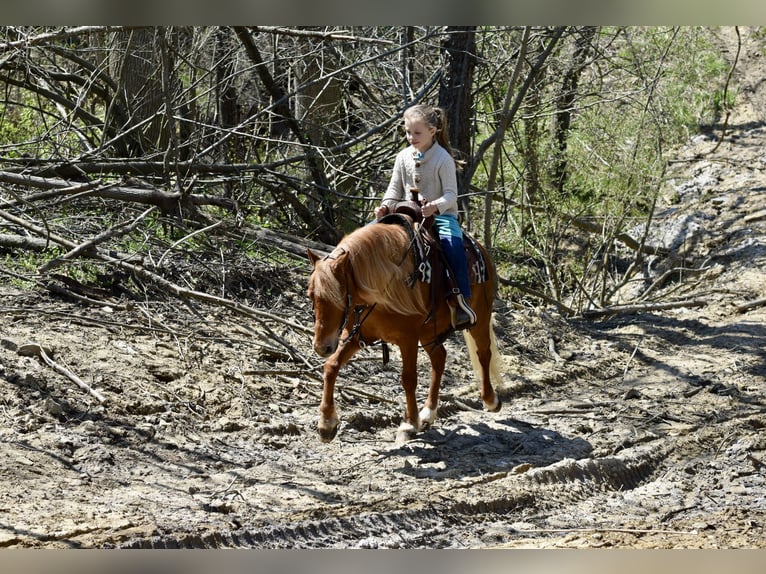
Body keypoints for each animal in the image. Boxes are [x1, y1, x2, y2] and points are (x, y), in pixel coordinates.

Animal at [307, 217, 503, 444]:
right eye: (311, 294)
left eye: (339, 295)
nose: (321, 347)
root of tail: (480, 249)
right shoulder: (355, 337)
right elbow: (331, 367)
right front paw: (326, 424)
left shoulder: (407, 339)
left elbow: (408, 379)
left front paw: (408, 424)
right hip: (429, 333)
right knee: (440, 358)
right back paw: (428, 413)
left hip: (480, 317)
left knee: (483, 353)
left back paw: (490, 400)